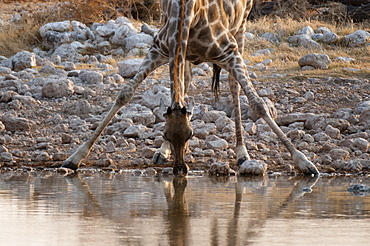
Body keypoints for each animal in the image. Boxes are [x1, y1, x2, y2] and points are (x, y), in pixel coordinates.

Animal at [60, 0, 318, 176]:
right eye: (164, 134)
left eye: (192, 135)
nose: (179, 170)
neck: (187, 14)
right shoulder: (161, 49)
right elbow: (125, 94)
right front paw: (75, 157)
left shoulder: (229, 51)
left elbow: (258, 104)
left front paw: (304, 162)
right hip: (185, 55)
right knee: (184, 85)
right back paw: (161, 153)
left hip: (241, 28)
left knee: (234, 88)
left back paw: (242, 153)